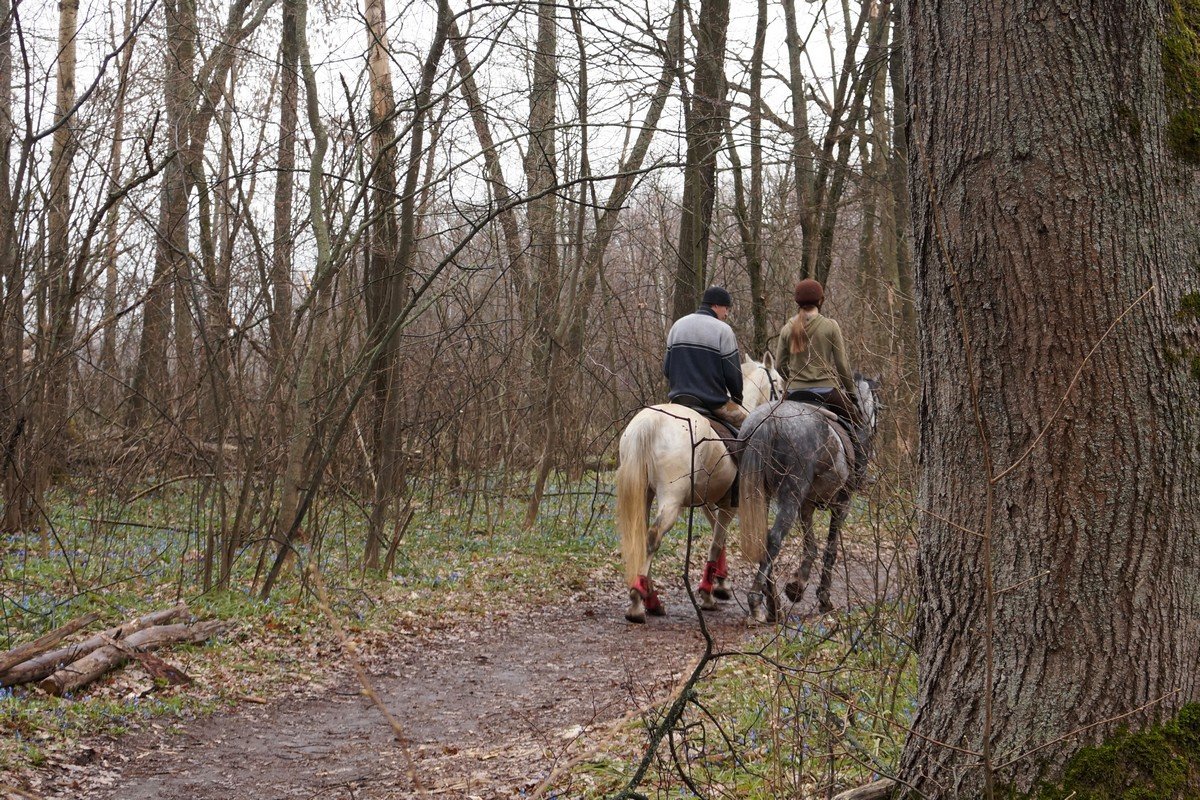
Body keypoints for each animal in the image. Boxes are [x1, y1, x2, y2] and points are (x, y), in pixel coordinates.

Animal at [614, 357, 782, 623]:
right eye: (779, 385)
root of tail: (650, 423)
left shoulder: (709, 503)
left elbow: (718, 539)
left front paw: (720, 584)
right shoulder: (730, 505)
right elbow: (716, 543)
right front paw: (708, 594)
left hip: (644, 495)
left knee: (641, 537)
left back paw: (650, 598)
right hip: (670, 500)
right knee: (653, 537)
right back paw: (640, 601)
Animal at [729, 376, 883, 623]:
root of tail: (768, 422)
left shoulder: (807, 505)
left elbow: (810, 546)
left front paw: (797, 585)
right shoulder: (842, 504)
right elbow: (830, 549)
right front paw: (823, 599)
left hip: (762, 494)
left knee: (763, 539)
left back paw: (774, 606)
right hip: (791, 494)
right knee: (774, 538)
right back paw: (756, 603)